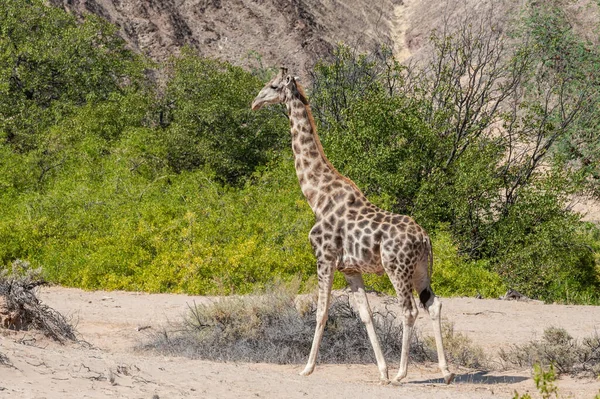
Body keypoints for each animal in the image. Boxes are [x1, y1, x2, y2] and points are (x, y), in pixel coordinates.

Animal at [251, 68, 452, 384]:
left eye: (272, 86)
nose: (255, 103)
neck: (317, 197)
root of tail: (425, 238)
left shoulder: (324, 258)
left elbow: (321, 311)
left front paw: (307, 368)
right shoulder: (350, 268)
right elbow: (365, 314)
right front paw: (382, 371)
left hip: (397, 268)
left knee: (408, 310)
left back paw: (402, 373)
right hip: (421, 269)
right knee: (433, 304)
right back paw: (445, 372)